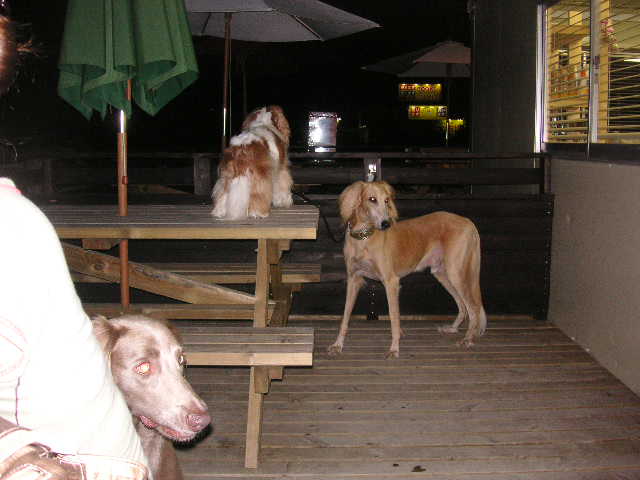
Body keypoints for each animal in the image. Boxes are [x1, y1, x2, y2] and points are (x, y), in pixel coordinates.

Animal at [327, 181, 487, 358]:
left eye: (387, 200)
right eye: (372, 199)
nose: (386, 224)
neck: (364, 238)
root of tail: (467, 221)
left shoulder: (391, 282)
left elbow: (394, 318)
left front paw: (394, 349)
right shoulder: (353, 280)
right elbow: (345, 317)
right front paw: (337, 345)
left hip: (455, 273)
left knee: (473, 308)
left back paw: (468, 339)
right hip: (442, 273)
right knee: (463, 306)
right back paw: (453, 329)